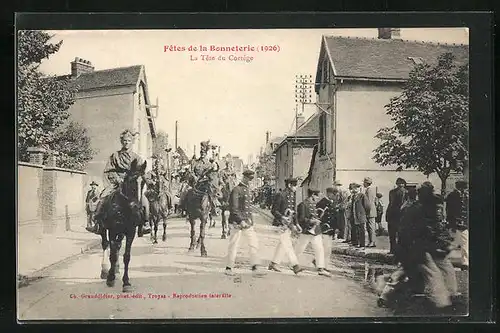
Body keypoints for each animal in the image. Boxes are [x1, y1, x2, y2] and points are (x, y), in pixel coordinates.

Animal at [95, 160, 146, 292]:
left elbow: (126, 256)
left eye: (144, 182)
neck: (124, 208)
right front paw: (110, 278)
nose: (137, 208)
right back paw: (105, 271)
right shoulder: (112, 231)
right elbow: (112, 255)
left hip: (121, 233)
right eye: (131, 181)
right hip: (104, 229)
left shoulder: (130, 232)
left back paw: (116, 269)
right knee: (106, 245)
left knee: (117, 246)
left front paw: (126, 282)